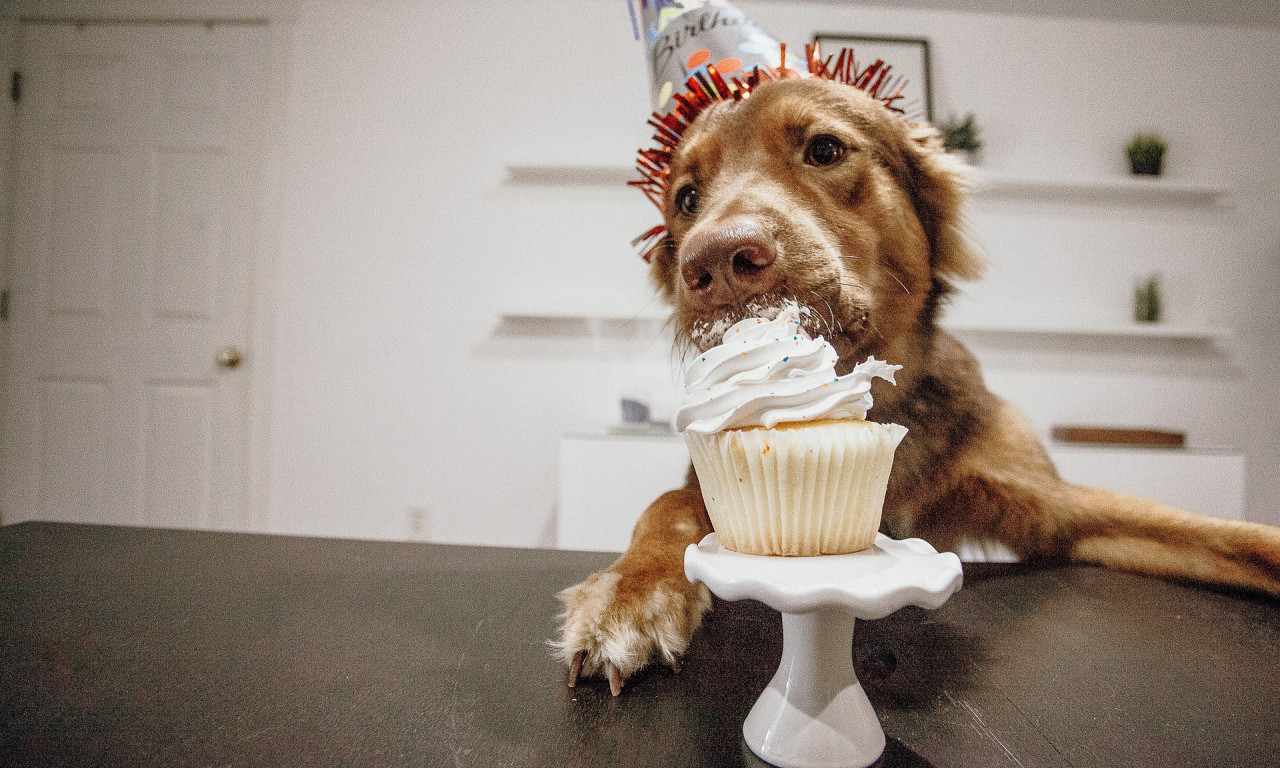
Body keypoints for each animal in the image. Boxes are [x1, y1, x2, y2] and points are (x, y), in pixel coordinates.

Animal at [552, 76, 1280, 696]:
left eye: (823, 149)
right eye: (686, 199)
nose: (715, 263)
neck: (875, 406)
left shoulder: (1056, 508)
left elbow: (1222, 533)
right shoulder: (711, 482)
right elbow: (665, 509)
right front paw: (627, 593)